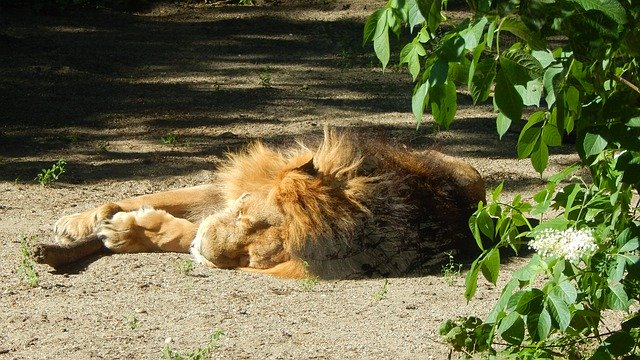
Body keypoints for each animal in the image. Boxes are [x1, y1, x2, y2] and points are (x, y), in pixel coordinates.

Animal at [33, 128, 484, 280]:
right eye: (245, 215)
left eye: (250, 258)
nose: (207, 251)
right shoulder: (229, 190)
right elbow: (152, 196)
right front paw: (83, 220)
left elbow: (185, 232)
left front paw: (126, 231)